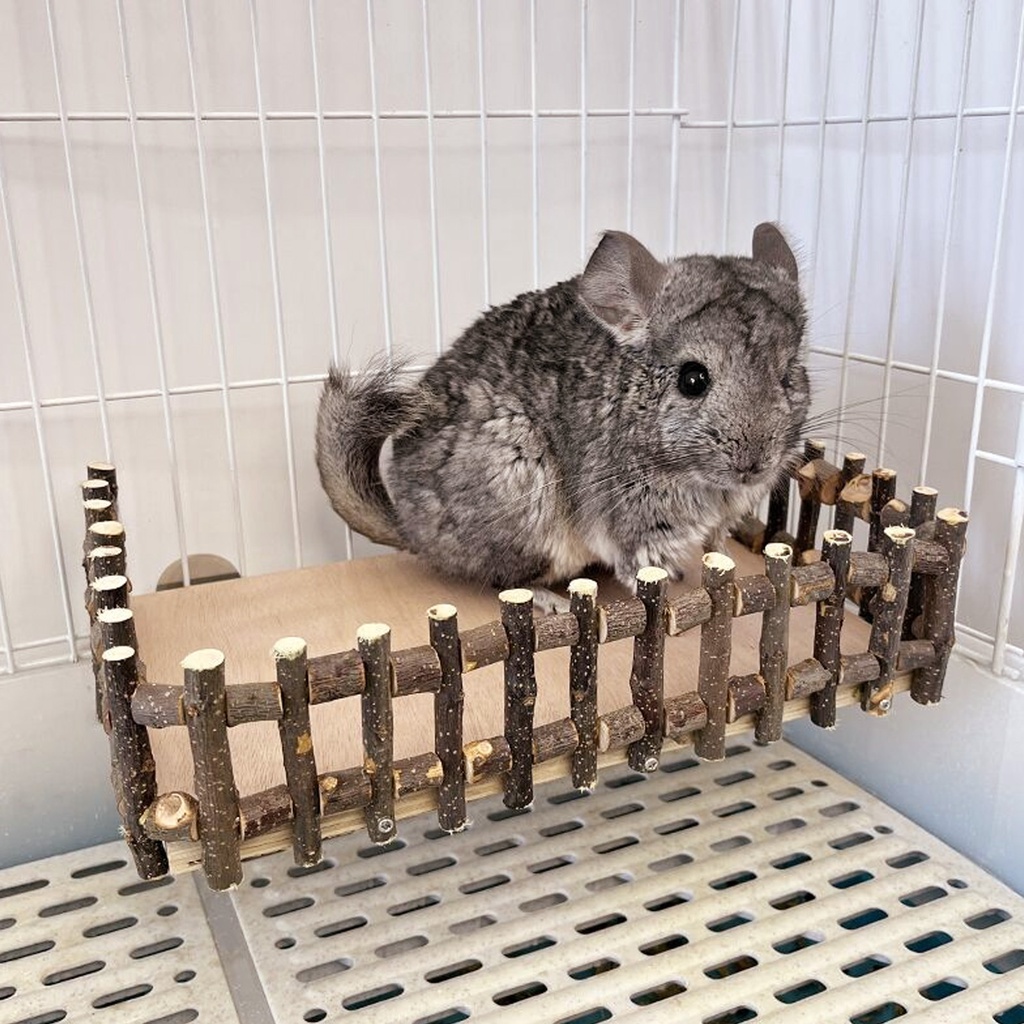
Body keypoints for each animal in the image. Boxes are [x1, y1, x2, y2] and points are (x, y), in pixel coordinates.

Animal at [315, 223, 810, 592]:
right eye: (693, 379)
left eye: (788, 374)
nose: (754, 464)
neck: (705, 485)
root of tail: (410, 530)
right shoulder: (633, 519)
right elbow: (645, 569)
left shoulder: (722, 520)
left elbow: (717, 549)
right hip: (520, 492)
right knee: (503, 581)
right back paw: (546, 601)